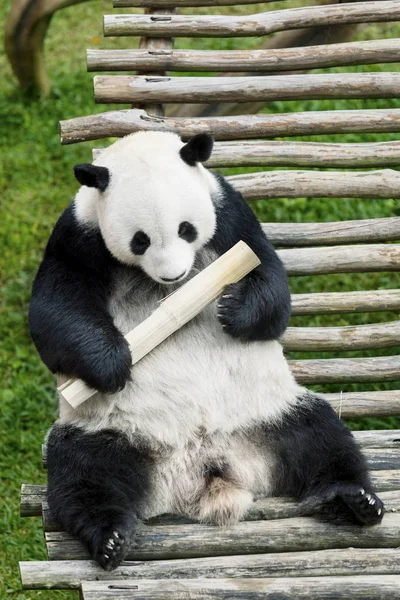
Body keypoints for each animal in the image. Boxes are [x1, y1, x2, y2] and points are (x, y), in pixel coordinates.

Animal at [28, 131, 384, 572]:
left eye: (186, 229)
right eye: (140, 240)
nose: (173, 275)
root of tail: (207, 473)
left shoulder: (230, 215)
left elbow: (271, 280)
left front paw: (234, 309)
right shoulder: (77, 238)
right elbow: (55, 313)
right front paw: (114, 364)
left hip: (270, 411)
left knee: (322, 438)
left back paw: (353, 499)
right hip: (108, 429)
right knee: (83, 472)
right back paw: (108, 537)